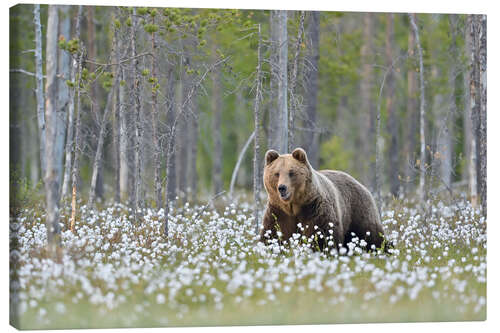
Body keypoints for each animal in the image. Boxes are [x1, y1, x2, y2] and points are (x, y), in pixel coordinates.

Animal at [260, 148, 388, 252]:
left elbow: (322, 234)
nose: (282, 188)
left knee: (372, 235)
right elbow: (271, 234)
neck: (293, 206)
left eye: (291, 172)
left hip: (358, 211)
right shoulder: (278, 212)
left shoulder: (314, 209)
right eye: (276, 173)